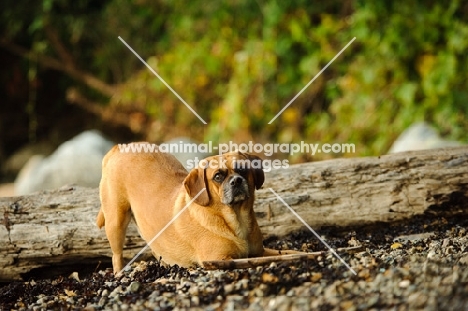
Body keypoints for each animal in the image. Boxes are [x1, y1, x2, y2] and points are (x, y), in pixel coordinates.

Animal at [97, 143, 298, 274]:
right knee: (116, 255)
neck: (235, 219)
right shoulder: (222, 259)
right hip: (116, 222)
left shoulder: (259, 251)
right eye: (218, 176)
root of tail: (120, 147)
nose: (236, 180)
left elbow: (288, 252)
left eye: (242, 169)